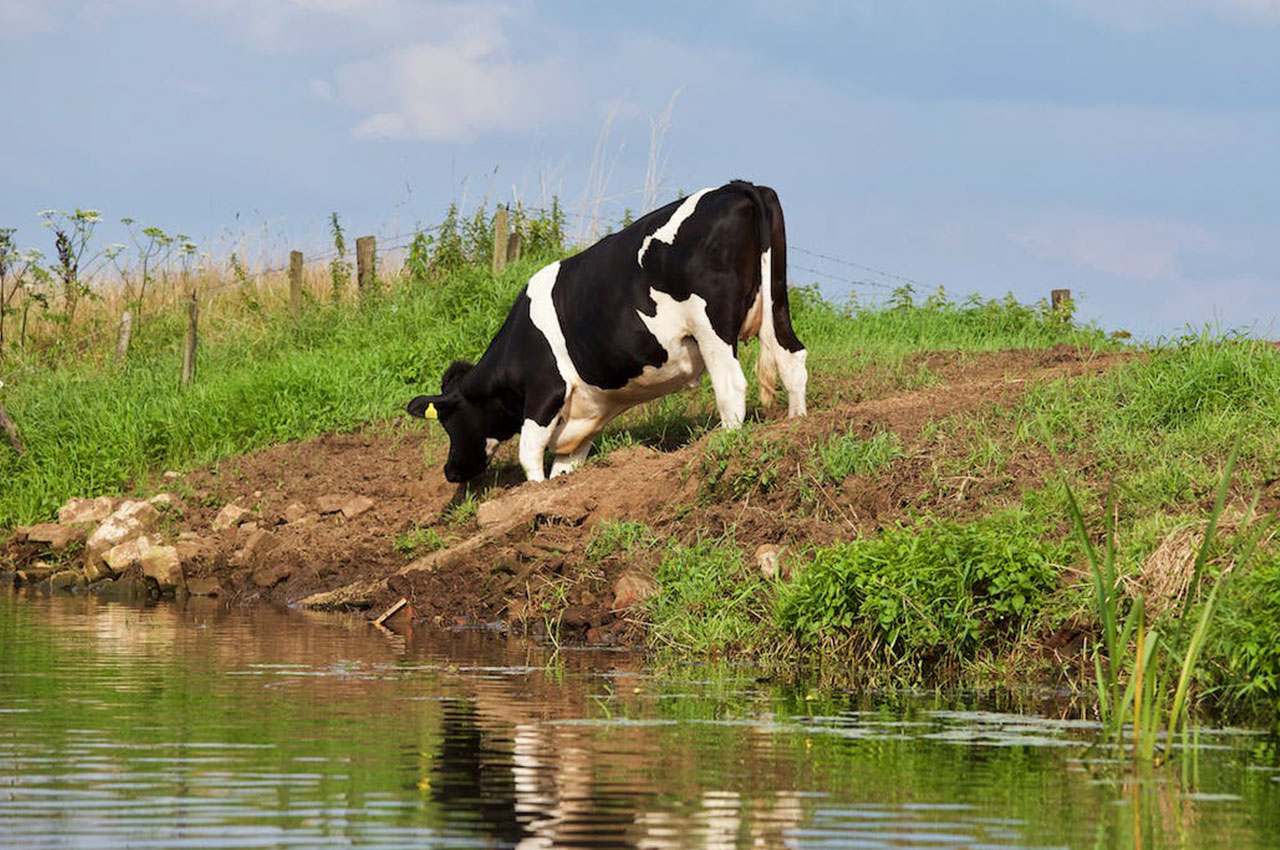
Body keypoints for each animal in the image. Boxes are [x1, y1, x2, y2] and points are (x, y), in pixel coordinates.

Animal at [407, 177, 808, 483]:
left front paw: (533, 495)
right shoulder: (583, 411)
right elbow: (564, 467)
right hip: (777, 302)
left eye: (449, 421)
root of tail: (737, 186)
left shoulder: (545, 390)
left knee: (730, 385)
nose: (451, 471)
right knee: (792, 358)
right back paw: (797, 422)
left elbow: (529, 455)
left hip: (712, 326)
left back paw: (725, 442)